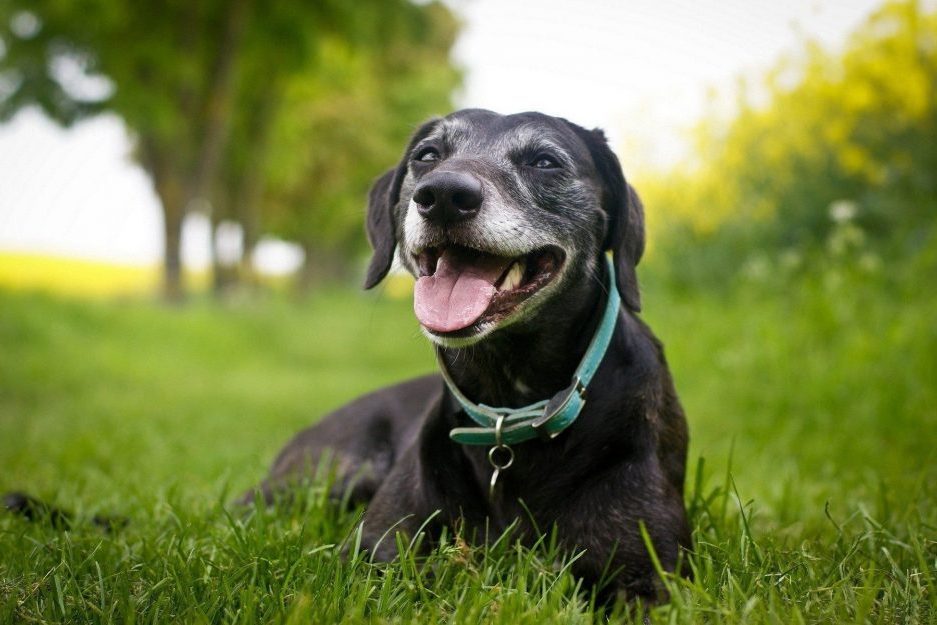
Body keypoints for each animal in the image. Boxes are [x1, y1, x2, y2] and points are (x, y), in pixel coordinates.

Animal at [245, 109, 692, 596]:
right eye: (427, 155)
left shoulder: (651, 576)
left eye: (545, 161)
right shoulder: (368, 555)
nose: (442, 195)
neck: (509, 402)